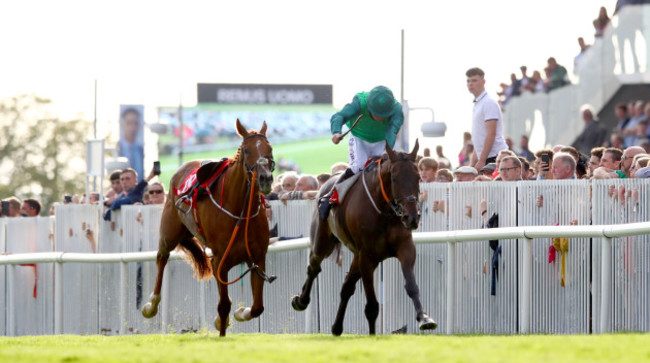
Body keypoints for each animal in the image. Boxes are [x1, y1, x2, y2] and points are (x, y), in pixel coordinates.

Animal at [142, 120, 274, 338]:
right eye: (246, 150)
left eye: (269, 149)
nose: (265, 178)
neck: (240, 213)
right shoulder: (219, 261)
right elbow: (224, 305)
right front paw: (222, 332)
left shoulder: (257, 257)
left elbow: (257, 307)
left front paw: (239, 313)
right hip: (169, 232)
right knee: (161, 258)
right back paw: (151, 305)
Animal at [292, 139, 436, 336]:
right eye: (394, 178)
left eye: (418, 178)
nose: (412, 217)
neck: (384, 212)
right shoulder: (367, 257)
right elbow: (372, 306)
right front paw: (373, 336)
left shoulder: (405, 248)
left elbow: (412, 286)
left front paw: (425, 318)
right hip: (323, 242)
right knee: (313, 267)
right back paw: (301, 301)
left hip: (356, 255)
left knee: (346, 286)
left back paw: (337, 327)